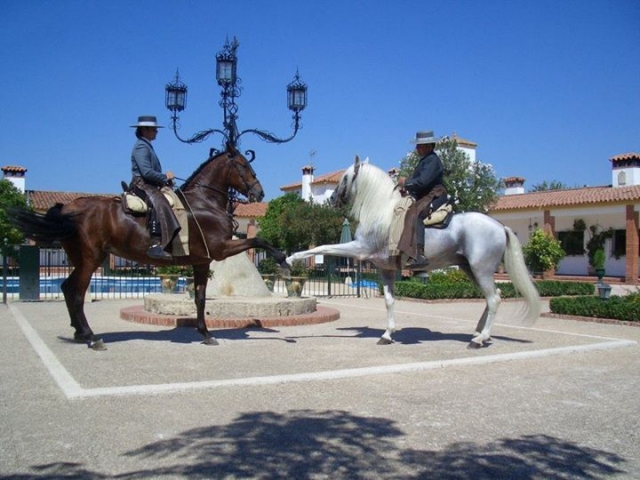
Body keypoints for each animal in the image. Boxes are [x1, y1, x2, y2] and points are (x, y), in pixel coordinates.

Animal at [10, 144, 288, 349]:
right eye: (244, 165)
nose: (259, 193)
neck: (204, 203)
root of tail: (68, 208)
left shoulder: (202, 261)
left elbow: (199, 298)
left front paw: (206, 334)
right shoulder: (220, 249)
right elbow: (259, 240)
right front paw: (283, 262)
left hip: (80, 258)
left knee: (67, 289)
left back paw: (80, 333)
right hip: (91, 258)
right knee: (77, 294)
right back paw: (91, 337)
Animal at [286, 156, 540, 348]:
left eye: (346, 177)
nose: (331, 198)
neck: (380, 212)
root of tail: (499, 226)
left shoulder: (360, 249)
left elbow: (321, 247)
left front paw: (291, 258)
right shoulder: (385, 269)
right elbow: (389, 301)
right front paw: (387, 335)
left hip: (481, 270)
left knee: (494, 299)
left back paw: (480, 339)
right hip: (471, 270)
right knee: (492, 297)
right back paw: (478, 333)